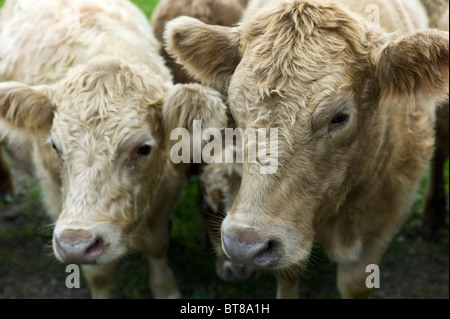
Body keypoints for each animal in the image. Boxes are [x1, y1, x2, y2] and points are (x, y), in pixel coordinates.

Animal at [0, 0, 225, 300]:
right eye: (55, 146)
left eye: (143, 148)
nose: (75, 244)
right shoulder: (58, 197)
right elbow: (99, 273)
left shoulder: (168, 186)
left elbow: (157, 244)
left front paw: (165, 288)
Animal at [165, 0, 450, 300]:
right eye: (234, 107)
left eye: (340, 117)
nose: (244, 244)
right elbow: (288, 275)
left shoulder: (387, 215)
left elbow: (355, 282)